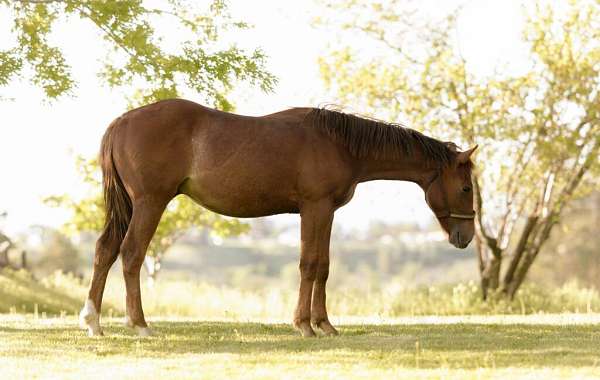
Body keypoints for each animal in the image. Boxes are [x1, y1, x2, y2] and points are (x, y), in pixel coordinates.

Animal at [79, 99, 476, 336]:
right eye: (466, 188)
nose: (466, 236)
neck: (338, 144)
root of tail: (121, 122)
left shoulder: (326, 212)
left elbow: (323, 266)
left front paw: (325, 325)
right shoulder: (315, 208)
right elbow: (309, 264)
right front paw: (304, 325)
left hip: (129, 207)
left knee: (104, 251)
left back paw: (94, 322)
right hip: (150, 203)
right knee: (131, 254)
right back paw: (139, 324)